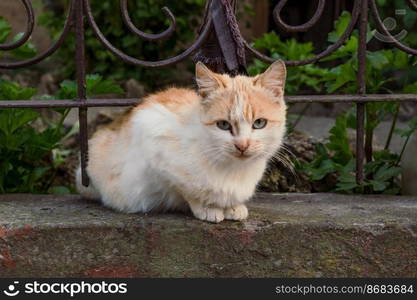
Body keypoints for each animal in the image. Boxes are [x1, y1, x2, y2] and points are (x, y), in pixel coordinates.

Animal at [75, 60, 286, 223]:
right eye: (223, 125)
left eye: (259, 123)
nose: (242, 145)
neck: (234, 170)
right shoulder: (154, 143)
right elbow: (188, 190)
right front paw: (208, 208)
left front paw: (234, 207)